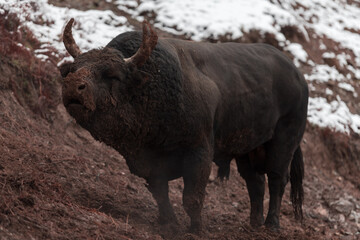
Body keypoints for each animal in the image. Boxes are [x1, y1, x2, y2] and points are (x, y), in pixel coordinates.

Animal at [60, 18, 308, 232]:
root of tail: (298, 76)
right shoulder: (150, 164)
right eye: (74, 68)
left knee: (277, 179)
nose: (73, 86)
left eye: (112, 74)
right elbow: (160, 194)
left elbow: (192, 198)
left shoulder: (199, 154)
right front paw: (168, 222)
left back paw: (272, 225)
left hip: (284, 142)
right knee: (255, 182)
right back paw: (254, 224)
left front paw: (195, 229)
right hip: (247, 149)